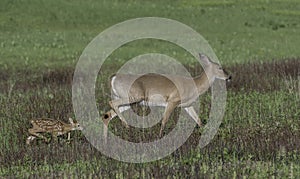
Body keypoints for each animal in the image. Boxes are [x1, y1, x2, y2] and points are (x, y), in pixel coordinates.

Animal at [102, 53, 231, 136]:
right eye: (220, 67)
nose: (229, 77)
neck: (194, 85)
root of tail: (114, 77)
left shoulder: (187, 105)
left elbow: (198, 120)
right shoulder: (173, 100)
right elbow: (164, 121)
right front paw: (159, 138)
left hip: (130, 101)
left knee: (107, 115)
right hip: (134, 96)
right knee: (111, 103)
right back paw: (126, 126)